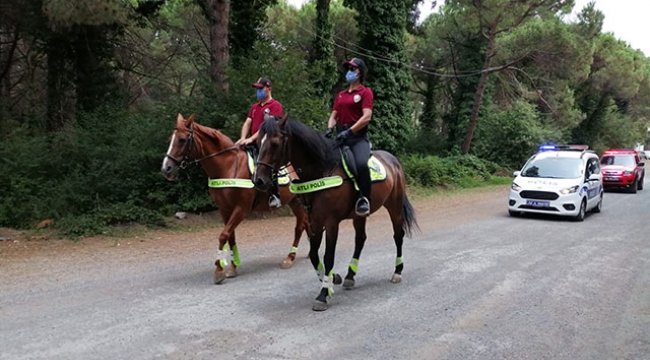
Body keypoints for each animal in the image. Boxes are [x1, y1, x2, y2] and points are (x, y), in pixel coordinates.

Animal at [158, 114, 308, 284]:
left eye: (182, 139)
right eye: (171, 138)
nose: (166, 168)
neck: (228, 167)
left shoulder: (241, 209)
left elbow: (223, 235)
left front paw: (219, 270)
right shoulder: (225, 210)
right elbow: (231, 237)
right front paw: (233, 267)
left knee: (300, 226)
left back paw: (290, 258)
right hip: (294, 201)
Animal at [251, 114, 418, 310]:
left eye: (275, 143)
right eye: (258, 142)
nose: (258, 180)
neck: (321, 170)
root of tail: (393, 160)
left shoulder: (331, 223)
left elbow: (328, 256)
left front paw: (323, 294)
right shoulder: (315, 220)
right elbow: (314, 255)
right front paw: (332, 279)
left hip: (394, 206)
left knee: (398, 235)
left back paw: (397, 271)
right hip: (359, 215)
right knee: (360, 239)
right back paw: (350, 276)